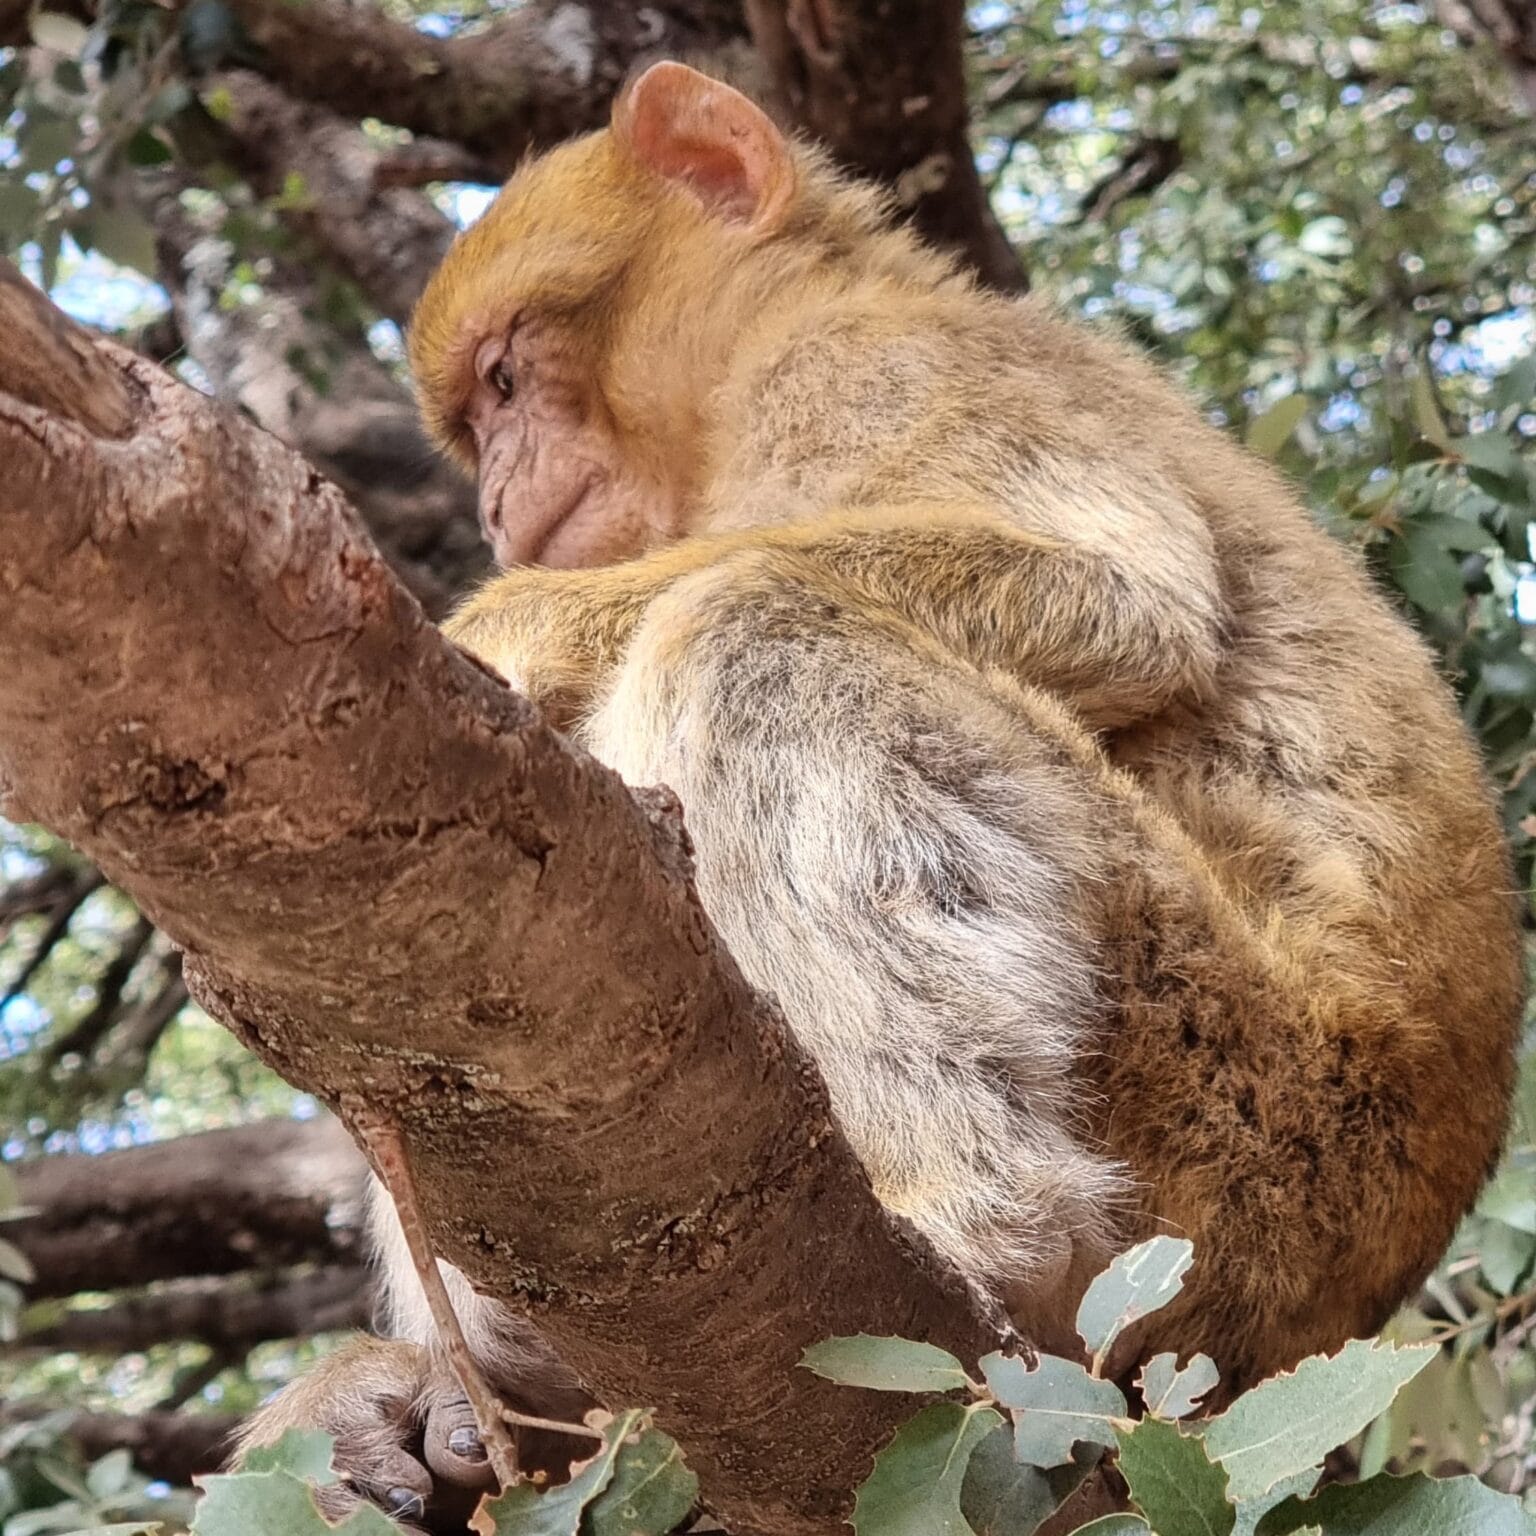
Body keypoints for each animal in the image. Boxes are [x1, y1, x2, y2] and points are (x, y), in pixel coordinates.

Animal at [234, 60, 1523, 1529]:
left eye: (508, 378)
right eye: (478, 420)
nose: (500, 497)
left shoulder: (870, 368)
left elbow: (1126, 600)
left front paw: (513, 625)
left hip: (1245, 1113)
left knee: (747, 622)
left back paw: (965, 1220)